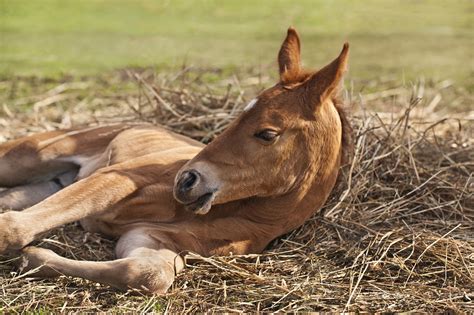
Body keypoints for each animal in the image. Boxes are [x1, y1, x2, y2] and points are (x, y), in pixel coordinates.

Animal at [0, 28, 348, 296]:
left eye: (267, 133)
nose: (186, 179)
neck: (235, 212)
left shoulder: (151, 239)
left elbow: (147, 275)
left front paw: (31, 258)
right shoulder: (116, 177)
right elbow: (14, 227)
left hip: (49, 183)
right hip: (31, 156)